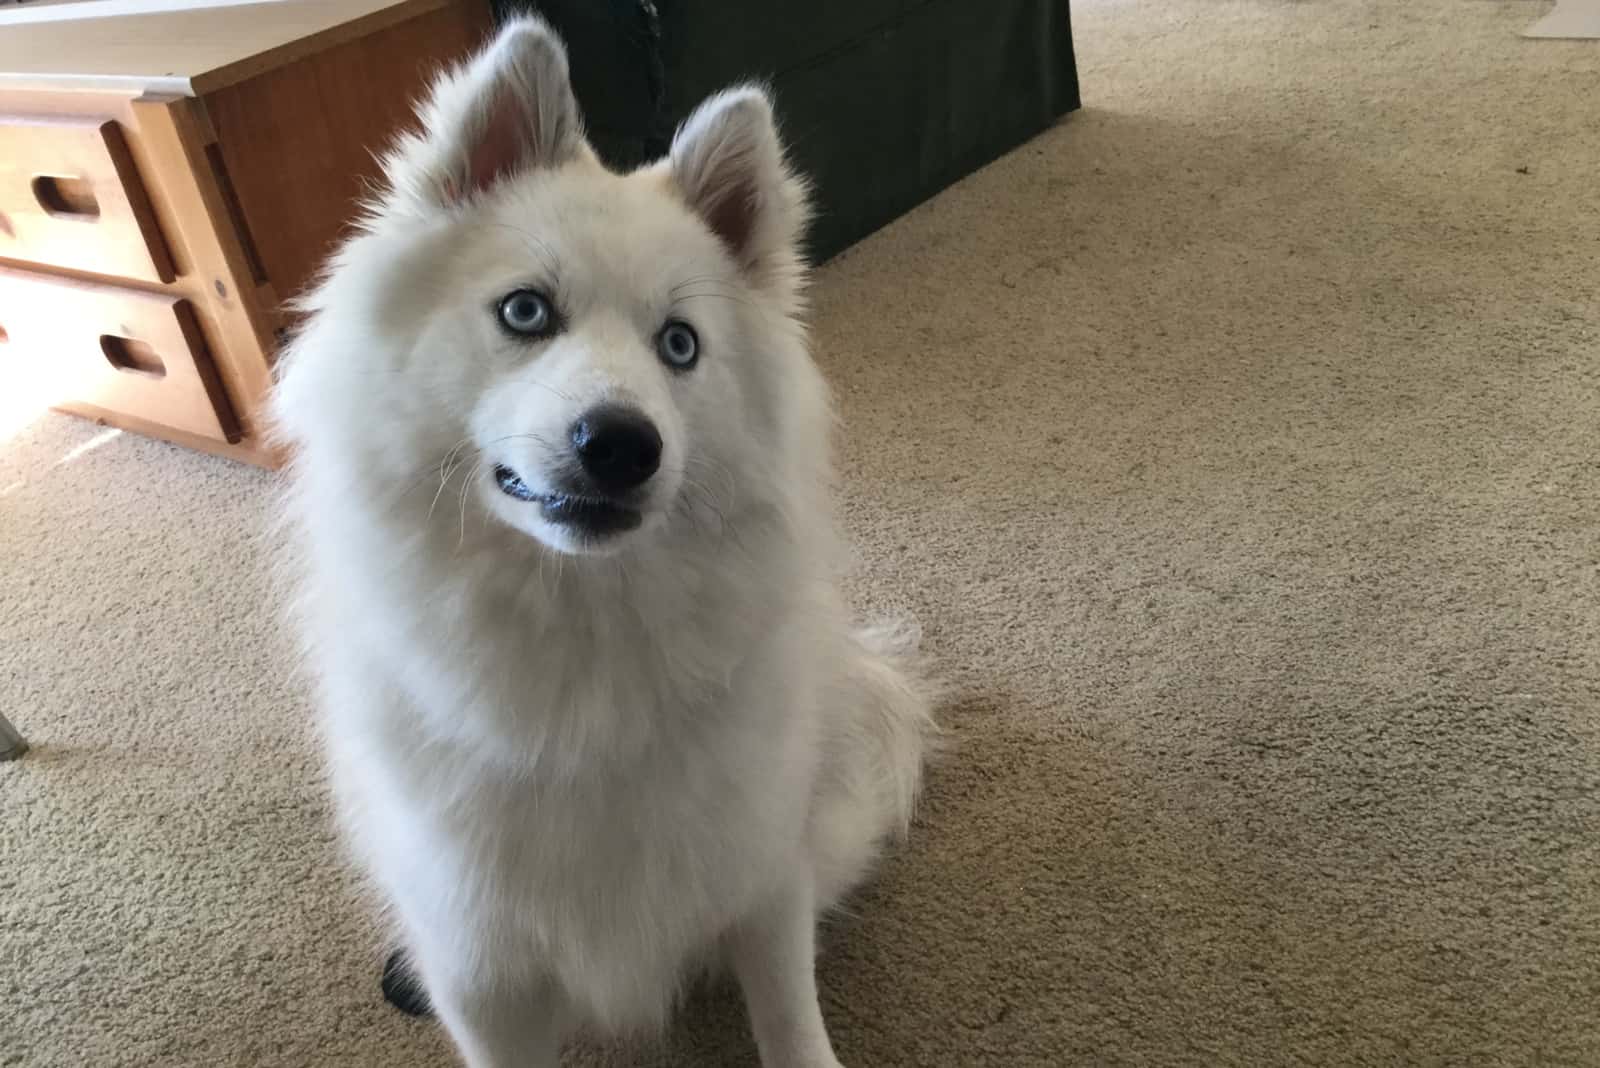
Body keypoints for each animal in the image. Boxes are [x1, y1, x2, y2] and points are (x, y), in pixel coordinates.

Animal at [268, 14, 934, 1068]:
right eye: (525, 311)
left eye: (680, 344)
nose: (621, 445)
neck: (580, 641)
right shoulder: (481, 965)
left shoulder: (759, 879)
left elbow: (789, 1019)